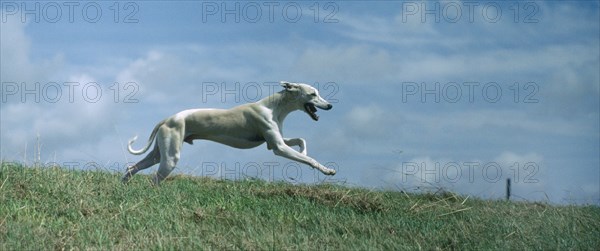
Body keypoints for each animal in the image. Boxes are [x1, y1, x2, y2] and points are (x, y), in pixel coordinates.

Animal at [122, 82, 338, 184]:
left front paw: (303, 151)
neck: (274, 107)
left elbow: (301, 140)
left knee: (132, 167)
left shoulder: (274, 141)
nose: (330, 105)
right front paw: (327, 170)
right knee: (154, 179)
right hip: (170, 158)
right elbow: (309, 159)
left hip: (159, 153)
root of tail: (168, 118)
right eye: (313, 94)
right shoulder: (278, 148)